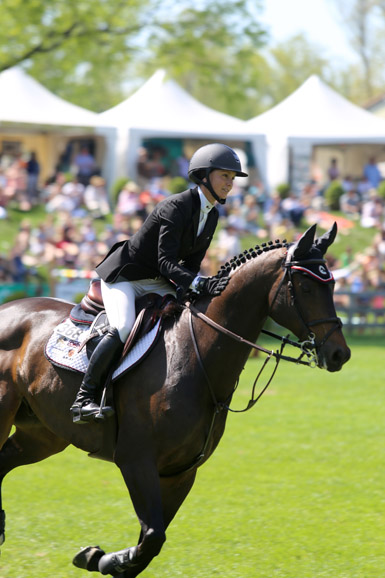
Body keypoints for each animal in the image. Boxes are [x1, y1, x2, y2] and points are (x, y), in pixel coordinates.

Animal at [0, 223, 350, 572]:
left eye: (332, 285)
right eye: (305, 288)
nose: (339, 354)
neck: (194, 356)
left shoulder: (180, 473)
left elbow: (149, 544)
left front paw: (100, 558)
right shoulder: (136, 460)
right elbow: (153, 536)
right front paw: (100, 558)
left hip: (43, 435)